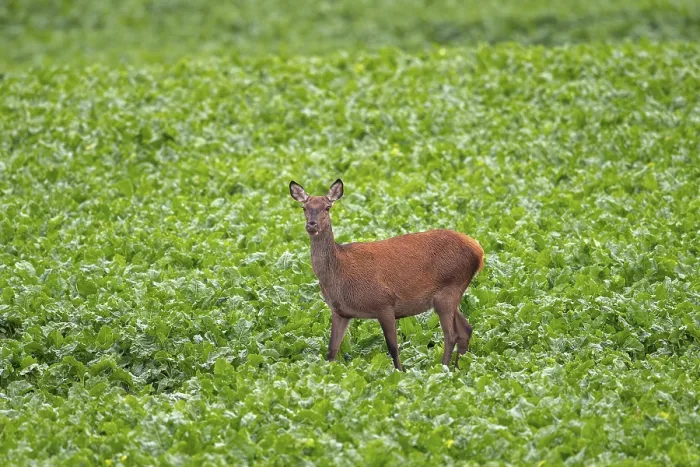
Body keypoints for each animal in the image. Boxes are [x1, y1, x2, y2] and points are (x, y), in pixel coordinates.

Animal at [289, 179, 484, 370]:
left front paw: (400, 372)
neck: (338, 275)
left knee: (451, 335)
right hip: (448, 295)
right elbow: (331, 351)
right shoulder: (340, 312)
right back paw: (459, 368)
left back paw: (443, 369)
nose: (311, 225)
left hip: (449, 289)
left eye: (327, 207)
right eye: (304, 207)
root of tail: (479, 251)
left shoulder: (384, 303)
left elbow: (393, 348)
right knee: (466, 329)